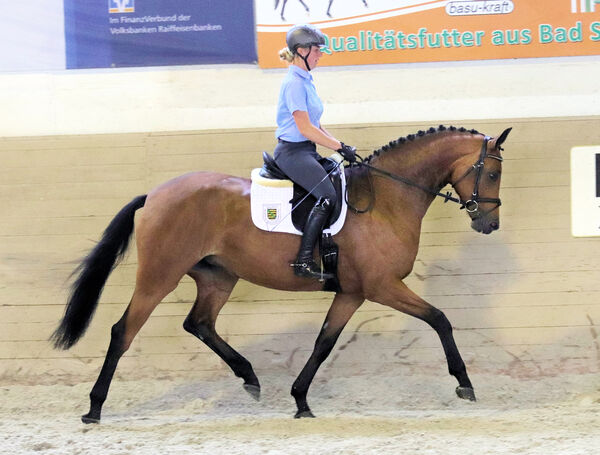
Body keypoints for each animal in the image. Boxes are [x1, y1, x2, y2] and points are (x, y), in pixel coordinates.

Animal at [50, 125, 510, 424]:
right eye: (491, 172)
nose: (488, 224)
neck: (386, 199)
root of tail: (155, 194)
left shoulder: (351, 293)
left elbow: (324, 343)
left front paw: (300, 400)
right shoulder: (382, 287)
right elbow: (440, 319)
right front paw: (465, 384)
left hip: (218, 277)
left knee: (199, 323)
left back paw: (250, 378)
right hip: (160, 275)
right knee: (123, 332)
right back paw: (94, 408)